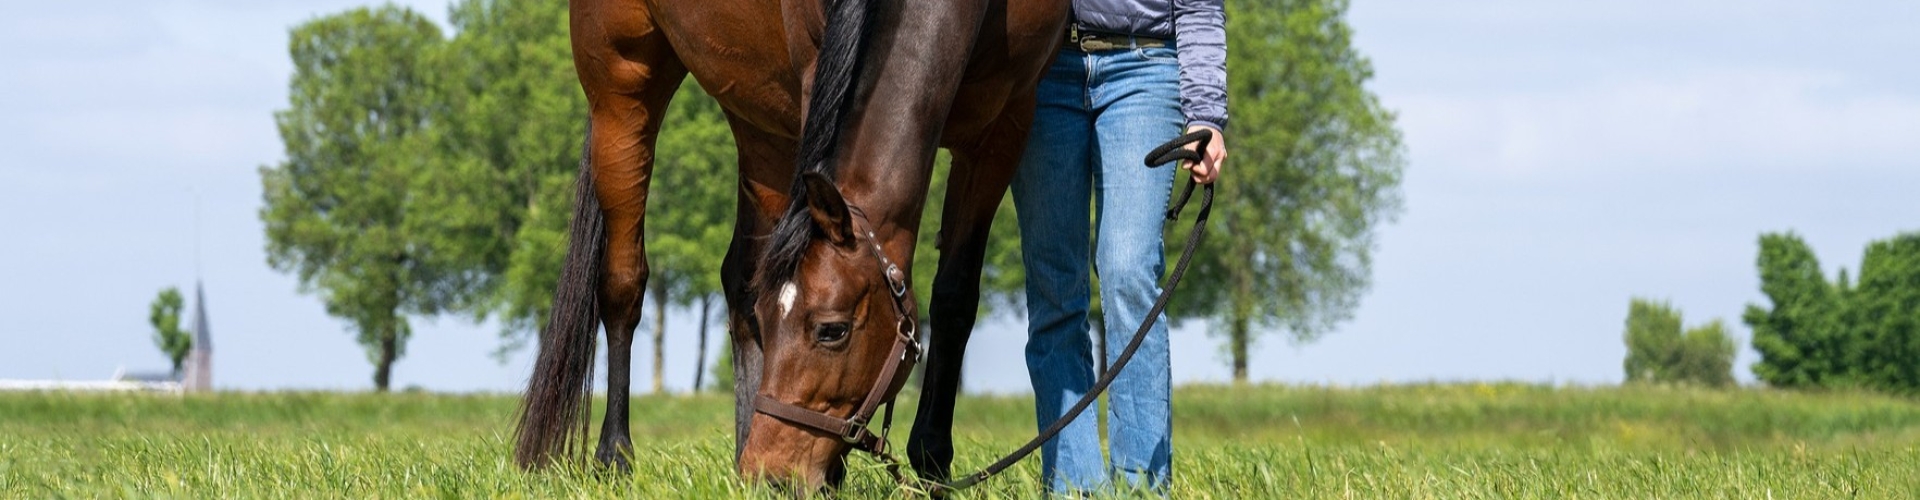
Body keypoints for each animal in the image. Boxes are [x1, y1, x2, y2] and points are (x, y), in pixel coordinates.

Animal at [511, 0, 1069, 491]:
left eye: (832, 330)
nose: (770, 474)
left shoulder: (1005, 127)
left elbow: (955, 299)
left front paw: (933, 461)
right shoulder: (814, 75)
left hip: (755, 115)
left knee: (739, 276)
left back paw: (739, 444)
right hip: (621, 90)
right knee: (623, 284)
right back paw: (615, 457)